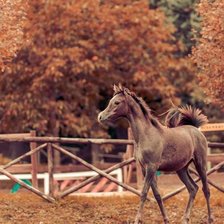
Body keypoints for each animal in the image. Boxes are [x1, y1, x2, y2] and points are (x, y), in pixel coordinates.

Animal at [98, 84, 214, 224]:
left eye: (117, 102)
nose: (100, 117)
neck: (146, 135)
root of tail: (195, 129)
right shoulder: (145, 169)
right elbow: (157, 195)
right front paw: (166, 219)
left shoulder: (151, 167)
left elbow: (143, 193)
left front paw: (137, 220)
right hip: (181, 169)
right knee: (193, 188)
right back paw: (185, 219)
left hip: (200, 164)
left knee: (205, 190)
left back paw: (210, 219)